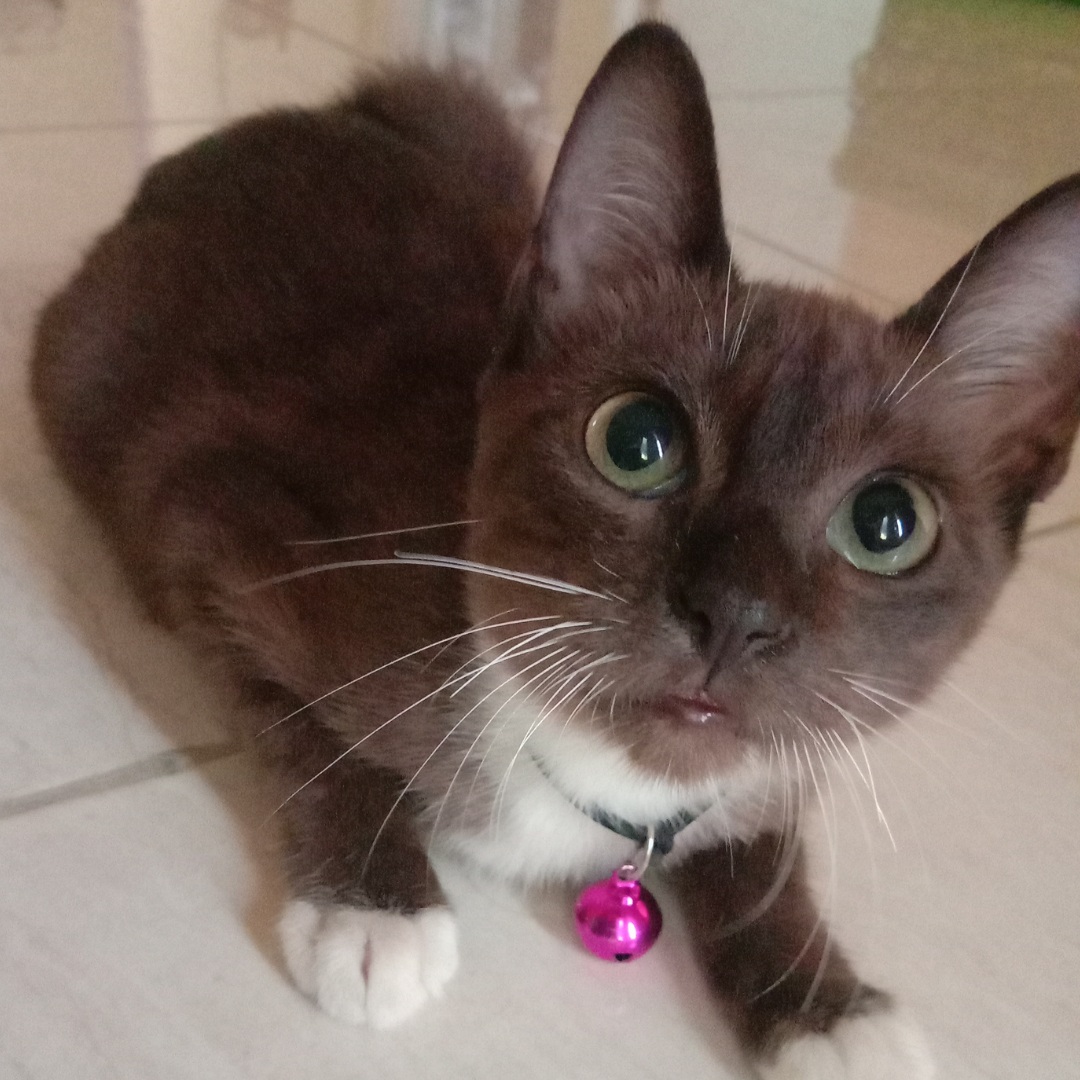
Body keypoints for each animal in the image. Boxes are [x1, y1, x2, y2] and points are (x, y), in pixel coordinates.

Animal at [25, 19, 1080, 1080]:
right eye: (637, 442)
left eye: (888, 524)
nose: (734, 615)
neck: (607, 784)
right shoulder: (206, 524)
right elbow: (305, 731)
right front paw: (372, 912)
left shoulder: (791, 749)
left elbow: (762, 845)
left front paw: (824, 1008)